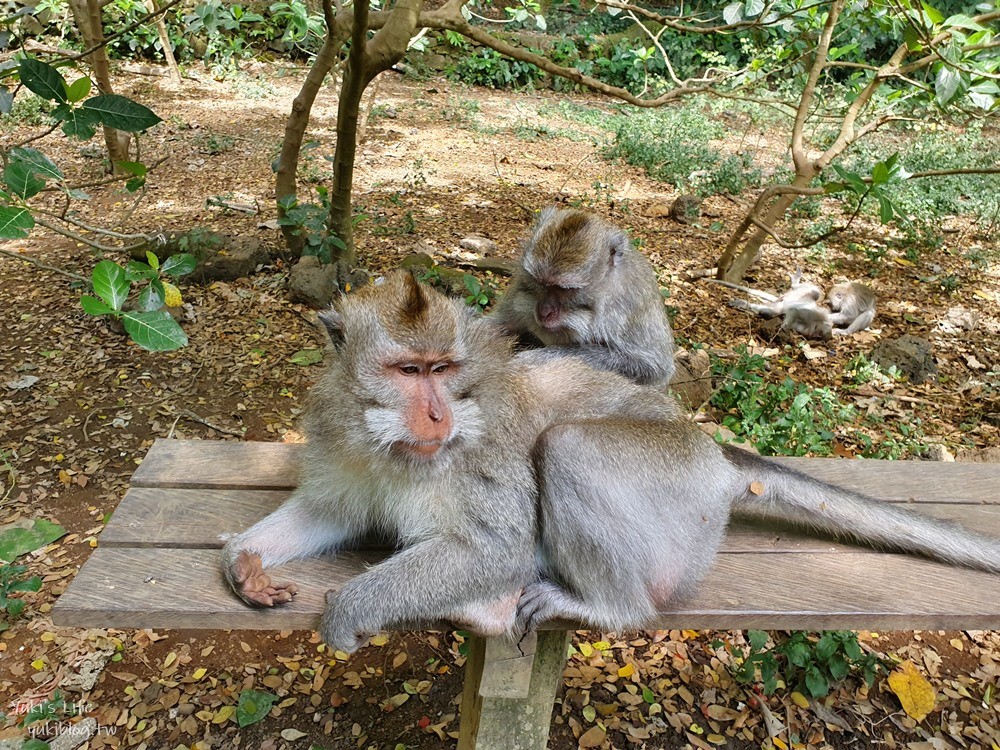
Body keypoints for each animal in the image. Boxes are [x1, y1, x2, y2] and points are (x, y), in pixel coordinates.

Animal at [223, 272, 1000, 652]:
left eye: (443, 369)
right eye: (408, 370)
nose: (438, 415)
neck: (389, 443)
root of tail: (717, 455)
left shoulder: (473, 465)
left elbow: (498, 548)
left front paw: (352, 607)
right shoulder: (340, 438)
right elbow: (327, 512)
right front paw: (245, 562)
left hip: (677, 489)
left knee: (569, 448)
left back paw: (597, 607)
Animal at [488, 209, 676, 390]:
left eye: (563, 289)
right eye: (540, 283)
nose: (544, 312)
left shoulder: (630, 302)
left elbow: (652, 367)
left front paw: (534, 359)